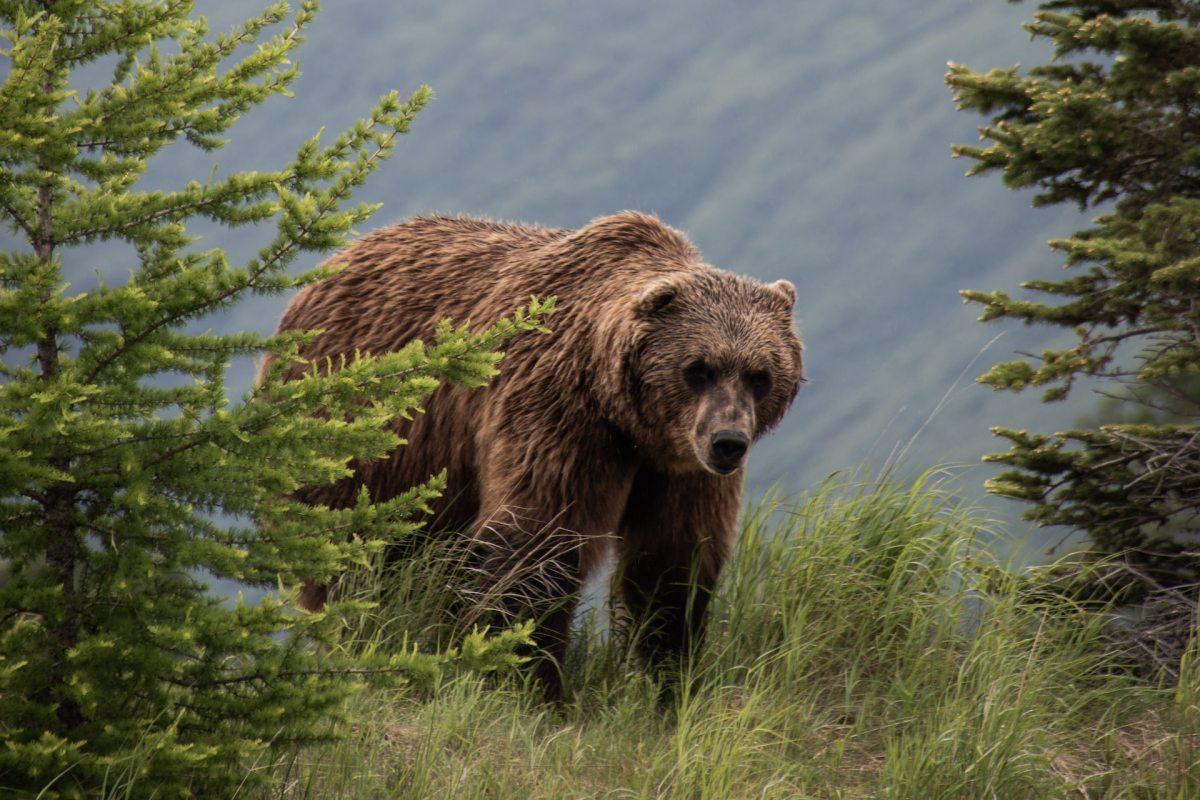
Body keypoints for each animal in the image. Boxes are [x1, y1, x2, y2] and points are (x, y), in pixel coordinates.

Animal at [264, 211, 806, 700]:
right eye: (699, 368)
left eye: (760, 374)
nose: (728, 442)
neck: (627, 419)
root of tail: (330, 265)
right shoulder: (559, 416)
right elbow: (537, 542)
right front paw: (529, 682)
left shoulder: (679, 468)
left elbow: (672, 561)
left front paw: (668, 680)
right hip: (363, 441)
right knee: (358, 556)